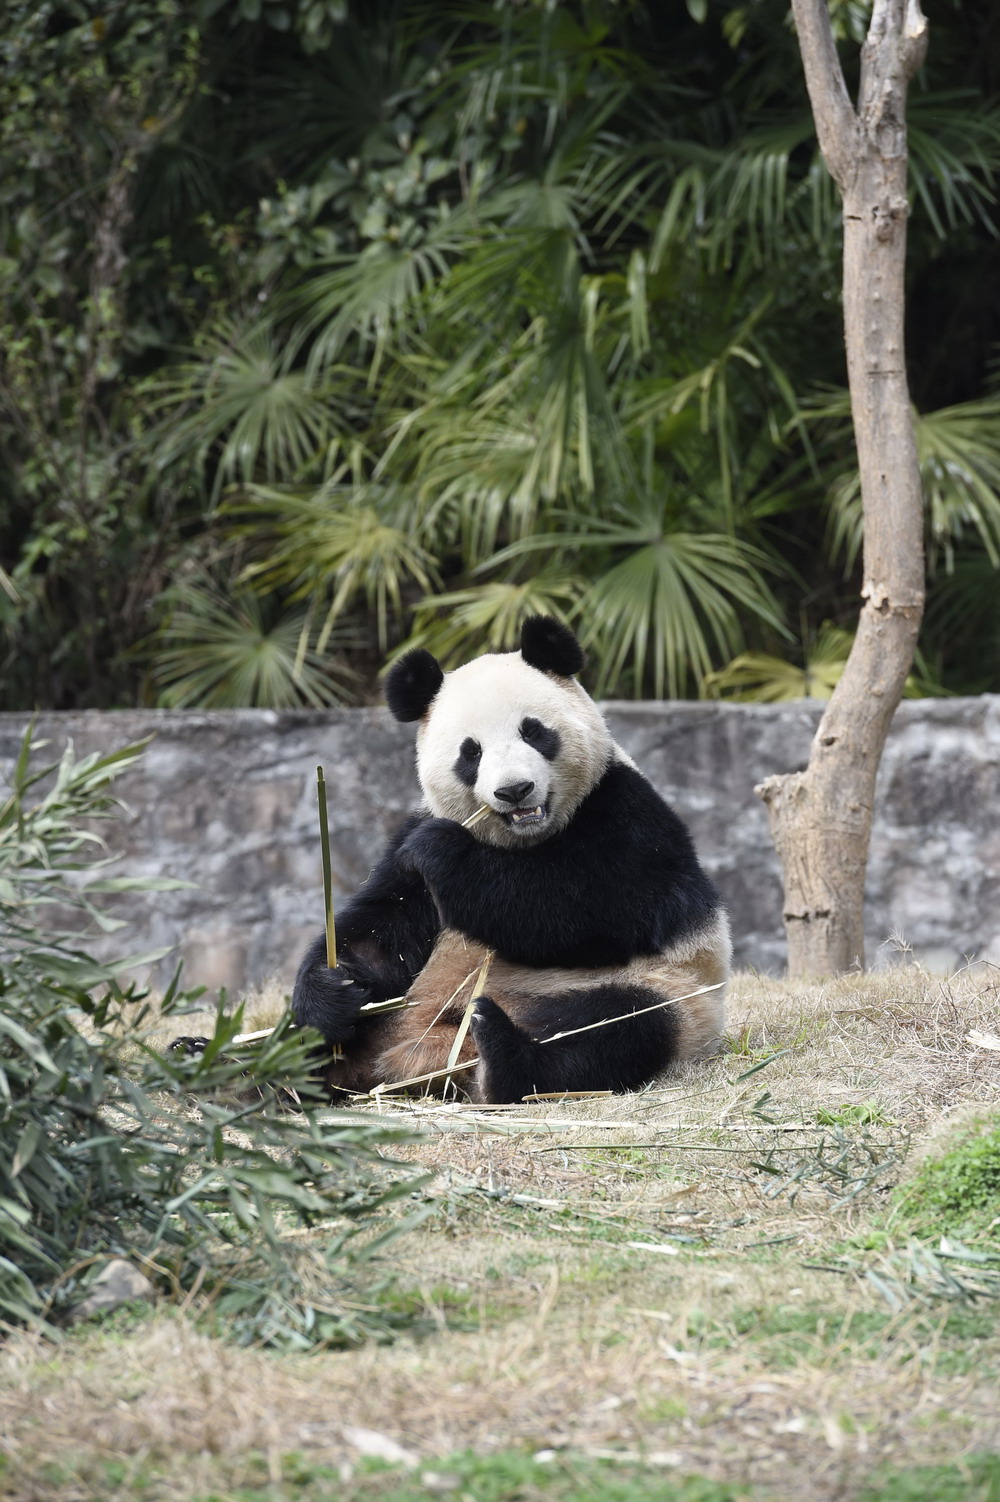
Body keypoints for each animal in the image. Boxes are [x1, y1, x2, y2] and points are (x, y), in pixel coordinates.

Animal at [292, 612, 729, 1105]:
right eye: (471, 751)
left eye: (533, 731)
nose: (514, 790)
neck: (519, 841)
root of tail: (425, 1051)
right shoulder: (408, 849)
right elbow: (383, 929)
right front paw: (331, 992)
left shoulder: (627, 814)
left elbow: (581, 908)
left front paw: (443, 849)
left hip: (671, 992)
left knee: (615, 1027)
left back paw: (503, 1053)